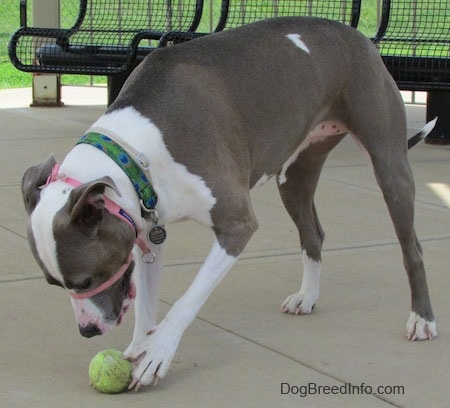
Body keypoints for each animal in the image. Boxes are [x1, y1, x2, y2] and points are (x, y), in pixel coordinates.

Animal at [20, 17, 436, 390]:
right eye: (53, 283)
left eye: (85, 280)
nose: (88, 331)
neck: (135, 152)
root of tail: (358, 37)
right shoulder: (145, 229)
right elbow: (146, 304)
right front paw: (139, 347)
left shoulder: (236, 225)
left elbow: (187, 300)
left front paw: (158, 351)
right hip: (294, 175)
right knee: (312, 234)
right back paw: (308, 296)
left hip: (389, 163)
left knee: (412, 247)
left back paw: (422, 319)